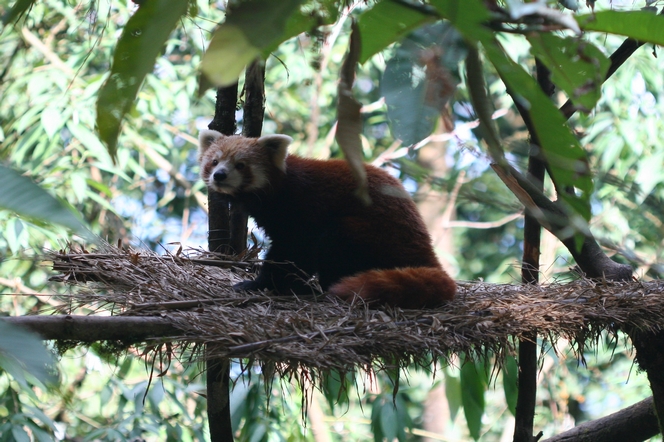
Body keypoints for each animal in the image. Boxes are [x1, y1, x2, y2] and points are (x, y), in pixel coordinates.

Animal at [198, 129, 456, 310]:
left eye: (240, 165)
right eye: (214, 162)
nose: (219, 175)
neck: (278, 189)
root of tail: (425, 248)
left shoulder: (301, 208)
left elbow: (294, 249)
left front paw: (261, 283)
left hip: (375, 234)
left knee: (335, 242)